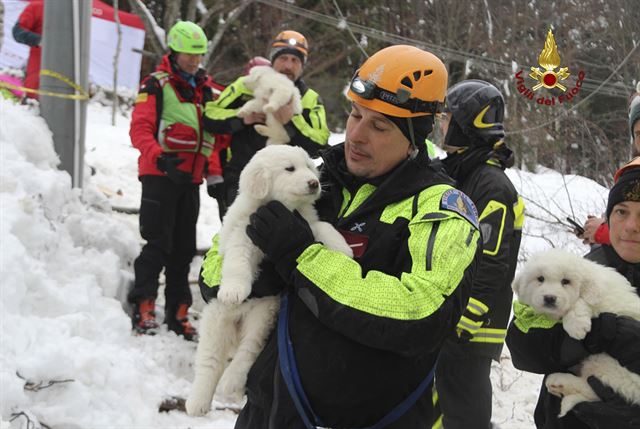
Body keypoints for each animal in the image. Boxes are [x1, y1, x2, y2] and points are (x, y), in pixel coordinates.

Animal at [185, 144, 352, 414]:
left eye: (309, 166)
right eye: (289, 169)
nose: (314, 183)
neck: (282, 207)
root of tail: (237, 323)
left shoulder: (305, 223)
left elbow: (323, 228)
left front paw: (343, 248)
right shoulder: (243, 234)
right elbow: (237, 262)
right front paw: (233, 291)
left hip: (262, 315)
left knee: (247, 351)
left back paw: (232, 384)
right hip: (216, 322)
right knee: (209, 362)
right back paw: (197, 402)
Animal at [512, 249, 640, 416]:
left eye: (566, 281)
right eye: (540, 279)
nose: (550, 298)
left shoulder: (601, 298)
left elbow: (581, 301)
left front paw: (576, 325)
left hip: (610, 363)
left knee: (596, 387)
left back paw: (559, 381)